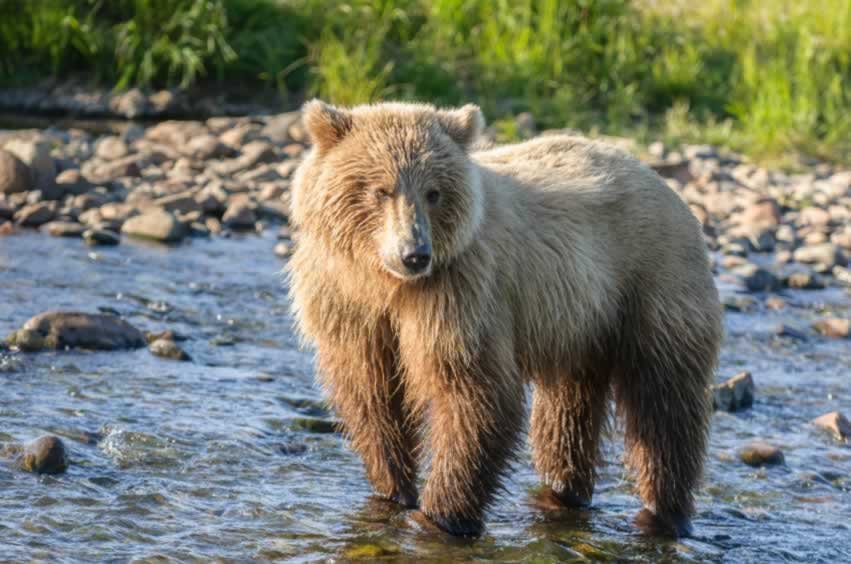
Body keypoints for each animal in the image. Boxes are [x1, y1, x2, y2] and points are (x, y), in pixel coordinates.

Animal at [288, 100, 724, 536]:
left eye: (434, 192)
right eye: (381, 189)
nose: (415, 254)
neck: (387, 283)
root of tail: (668, 188)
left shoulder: (461, 294)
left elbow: (473, 392)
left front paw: (442, 513)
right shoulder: (349, 303)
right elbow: (371, 393)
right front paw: (394, 488)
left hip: (651, 287)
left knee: (663, 406)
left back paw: (664, 510)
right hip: (579, 320)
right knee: (568, 410)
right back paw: (564, 489)